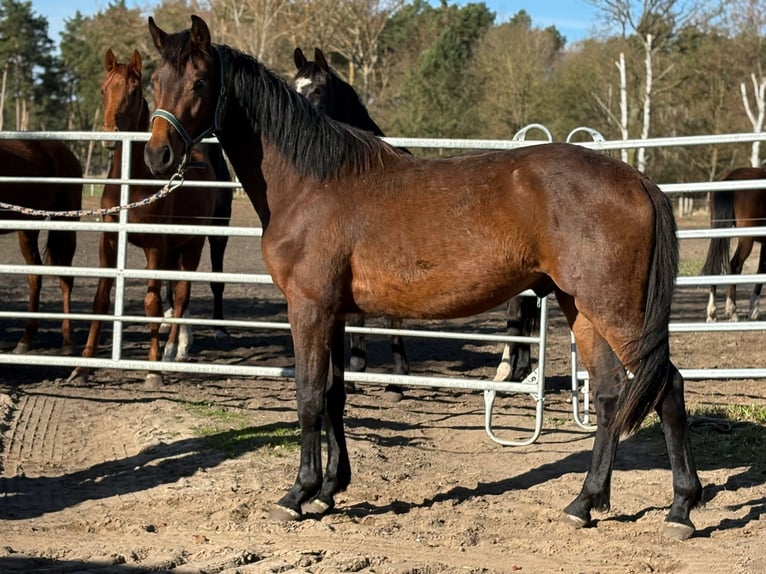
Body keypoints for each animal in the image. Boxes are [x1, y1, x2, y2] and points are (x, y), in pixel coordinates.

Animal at [0, 139, 82, 355]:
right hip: (28, 229)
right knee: (35, 276)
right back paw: (25, 339)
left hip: (65, 224)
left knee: (66, 278)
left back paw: (67, 342)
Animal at [68, 47, 232, 386]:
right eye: (103, 89)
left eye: (132, 91)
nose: (109, 136)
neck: (133, 182)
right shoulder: (110, 241)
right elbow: (101, 299)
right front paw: (83, 366)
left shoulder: (155, 246)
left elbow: (152, 303)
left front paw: (153, 369)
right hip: (174, 251)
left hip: (194, 245)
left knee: (181, 294)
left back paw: (171, 351)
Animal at [292, 47, 539, 385]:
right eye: (295, 87)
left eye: (318, 89)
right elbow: (356, 316)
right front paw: (356, 369)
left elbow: (392, 317)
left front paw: (399, 375)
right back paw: (520, 369)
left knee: (517, 312)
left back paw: (506, 371)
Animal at [701, 166, 766, 322]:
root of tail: (730, 178)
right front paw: (754, 309)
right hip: (746, 239)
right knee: (735, 264)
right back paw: (732, 311)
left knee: (716, 264)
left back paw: (712, 313)